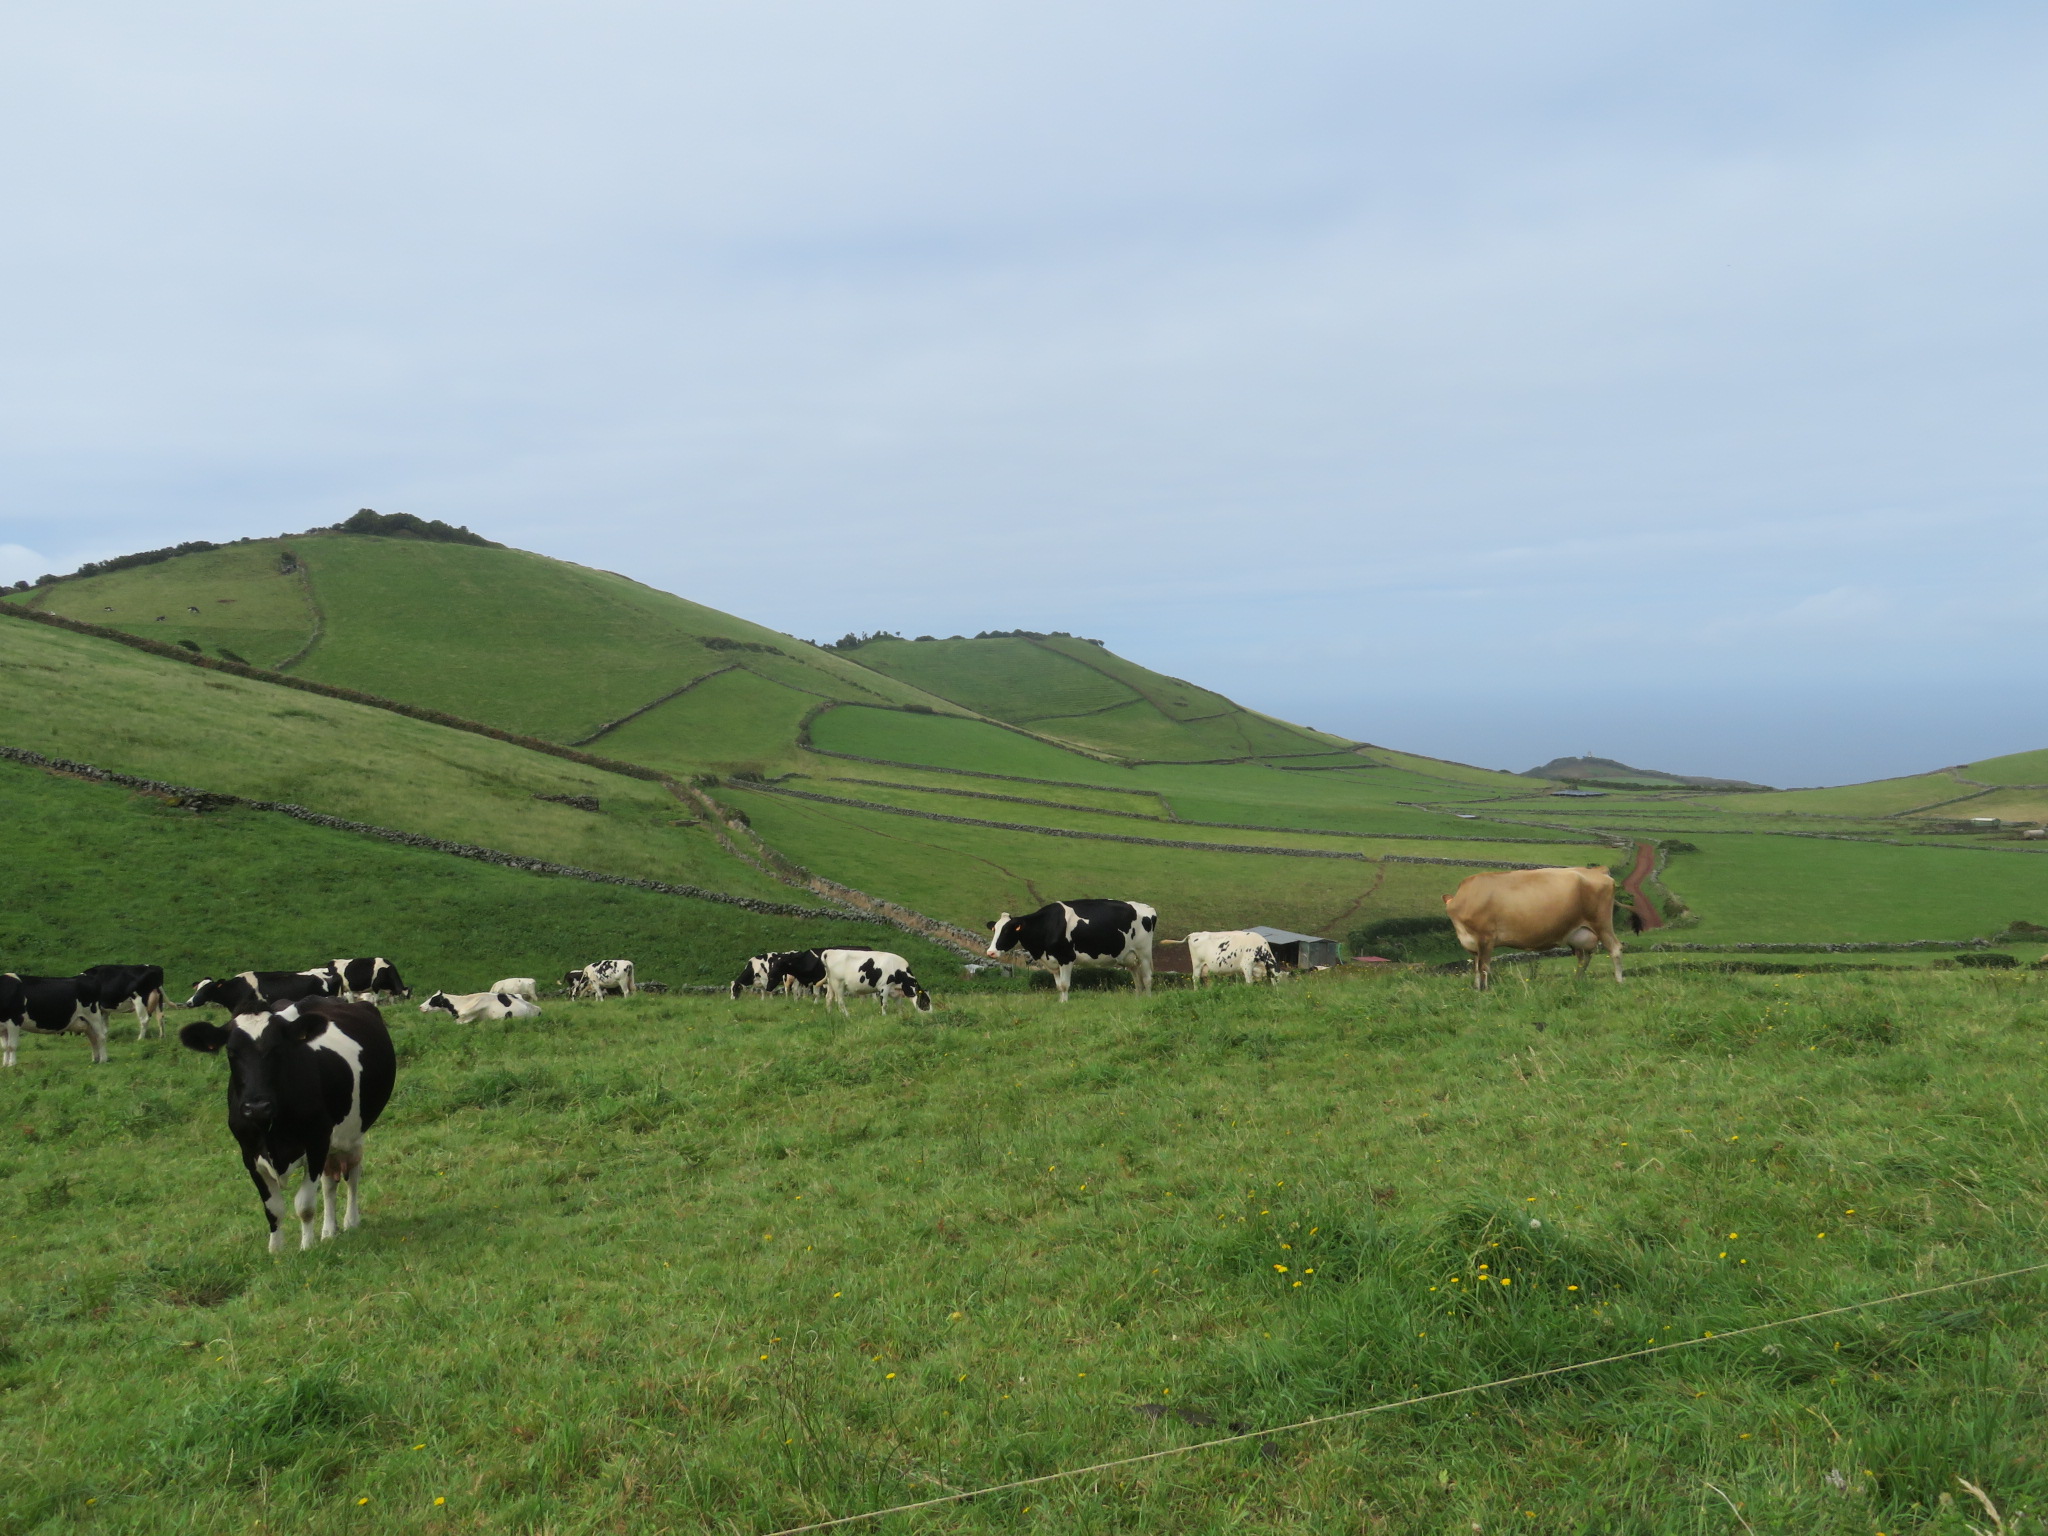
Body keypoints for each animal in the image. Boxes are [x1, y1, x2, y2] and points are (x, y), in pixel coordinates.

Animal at [180, 999, 399, 1261]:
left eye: (277, 1048)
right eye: (231, 1052)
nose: (256, 1107)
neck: (271, 1132)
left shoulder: (316, 1143)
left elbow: (304, 1205)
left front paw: (306, 1246)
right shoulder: (249, 1155)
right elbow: (273, 1209)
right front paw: (275, 1250)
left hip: (353, 1133)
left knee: (352, 1176)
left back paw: (350, 1221)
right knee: (329, 1184)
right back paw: (328, 1231)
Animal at [987, 897, 1163, 1003]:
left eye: (1007, 931)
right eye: (994, 929)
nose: (990, 952)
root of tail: (1147, 907)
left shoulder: (1066, 958)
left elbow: (1065, 985)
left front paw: (1065, 1003)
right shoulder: (1053, 962)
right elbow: (1059, 986)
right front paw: (1060, 1002)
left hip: (1144, 953)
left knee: (1147, 978)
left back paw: (1148, 999)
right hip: (1129, 956)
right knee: (1137, 979)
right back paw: (1138, 999)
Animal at [1441, 868, 1630, 999]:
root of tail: (1598, 871)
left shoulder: (1485, 938)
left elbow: (1484, 967)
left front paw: (1486, 991)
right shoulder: (1473, 944)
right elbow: (1475, 967)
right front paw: (1476, 989)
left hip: (1602, 924)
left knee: (1615, 948)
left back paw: (1619, 981)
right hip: (1580, 933)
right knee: (1584, 957)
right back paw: (1577, 980)